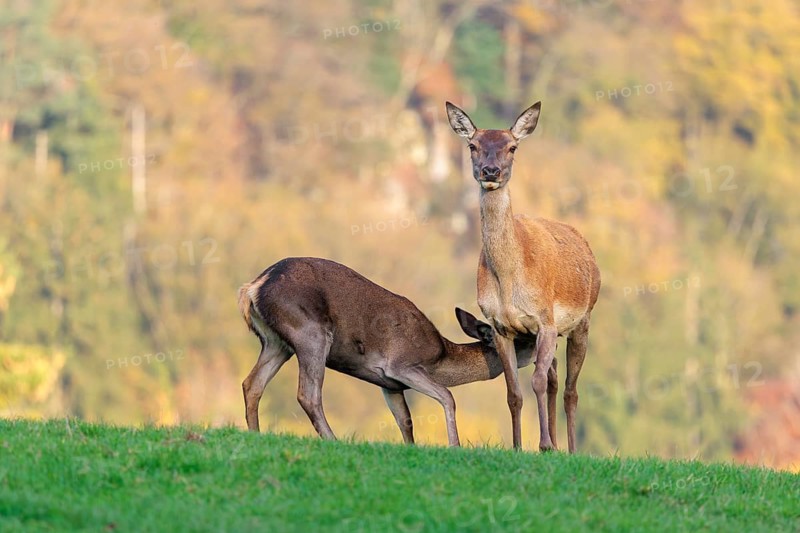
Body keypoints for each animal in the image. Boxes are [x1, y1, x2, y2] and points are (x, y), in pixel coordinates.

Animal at [238, 257, 538, 446]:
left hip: (276, 342)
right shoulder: (402, 365)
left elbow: (405, 420)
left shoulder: (389, 384)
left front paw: (411, 448)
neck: (440, 359)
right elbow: (447, 396)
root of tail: (253, 287)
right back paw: (333, 440)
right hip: (310, 332)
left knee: (252, 384)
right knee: (307, 394)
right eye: (524, 339)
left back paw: (255, 433)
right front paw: (455, 445)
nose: (545, 341)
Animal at [446, 101, 601, 453]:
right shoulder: (501, 327)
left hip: (582, 321)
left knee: (570, 389)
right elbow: (513, 392)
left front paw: (544, 445)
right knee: (556, 378)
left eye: (512, 147)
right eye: (472, 145)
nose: (491, 172)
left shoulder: (545, 320)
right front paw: (519, 446)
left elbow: (537, 381)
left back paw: (570, 448)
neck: (509, 283)